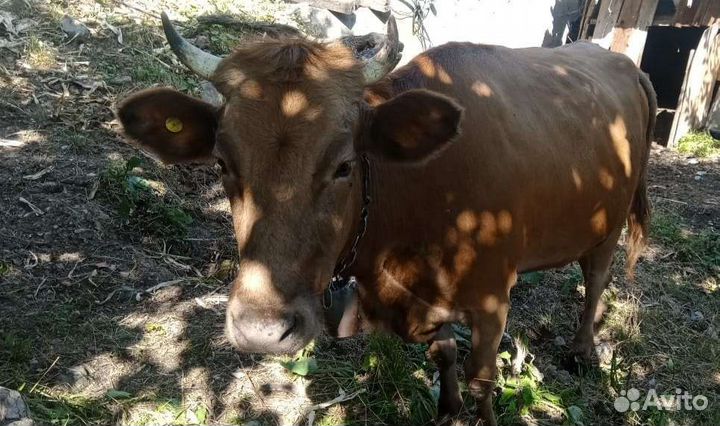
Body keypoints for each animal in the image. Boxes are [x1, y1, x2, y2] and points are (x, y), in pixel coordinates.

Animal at [117, 12, 656, 425]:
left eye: (344, 165)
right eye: (223, 163)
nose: (262, 330)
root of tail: (619, 60)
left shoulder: (491, 301)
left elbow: (483, 380)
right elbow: (444, 355)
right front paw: (445, 410)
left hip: (609, 221)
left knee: (596, 277)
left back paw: (583, 351)